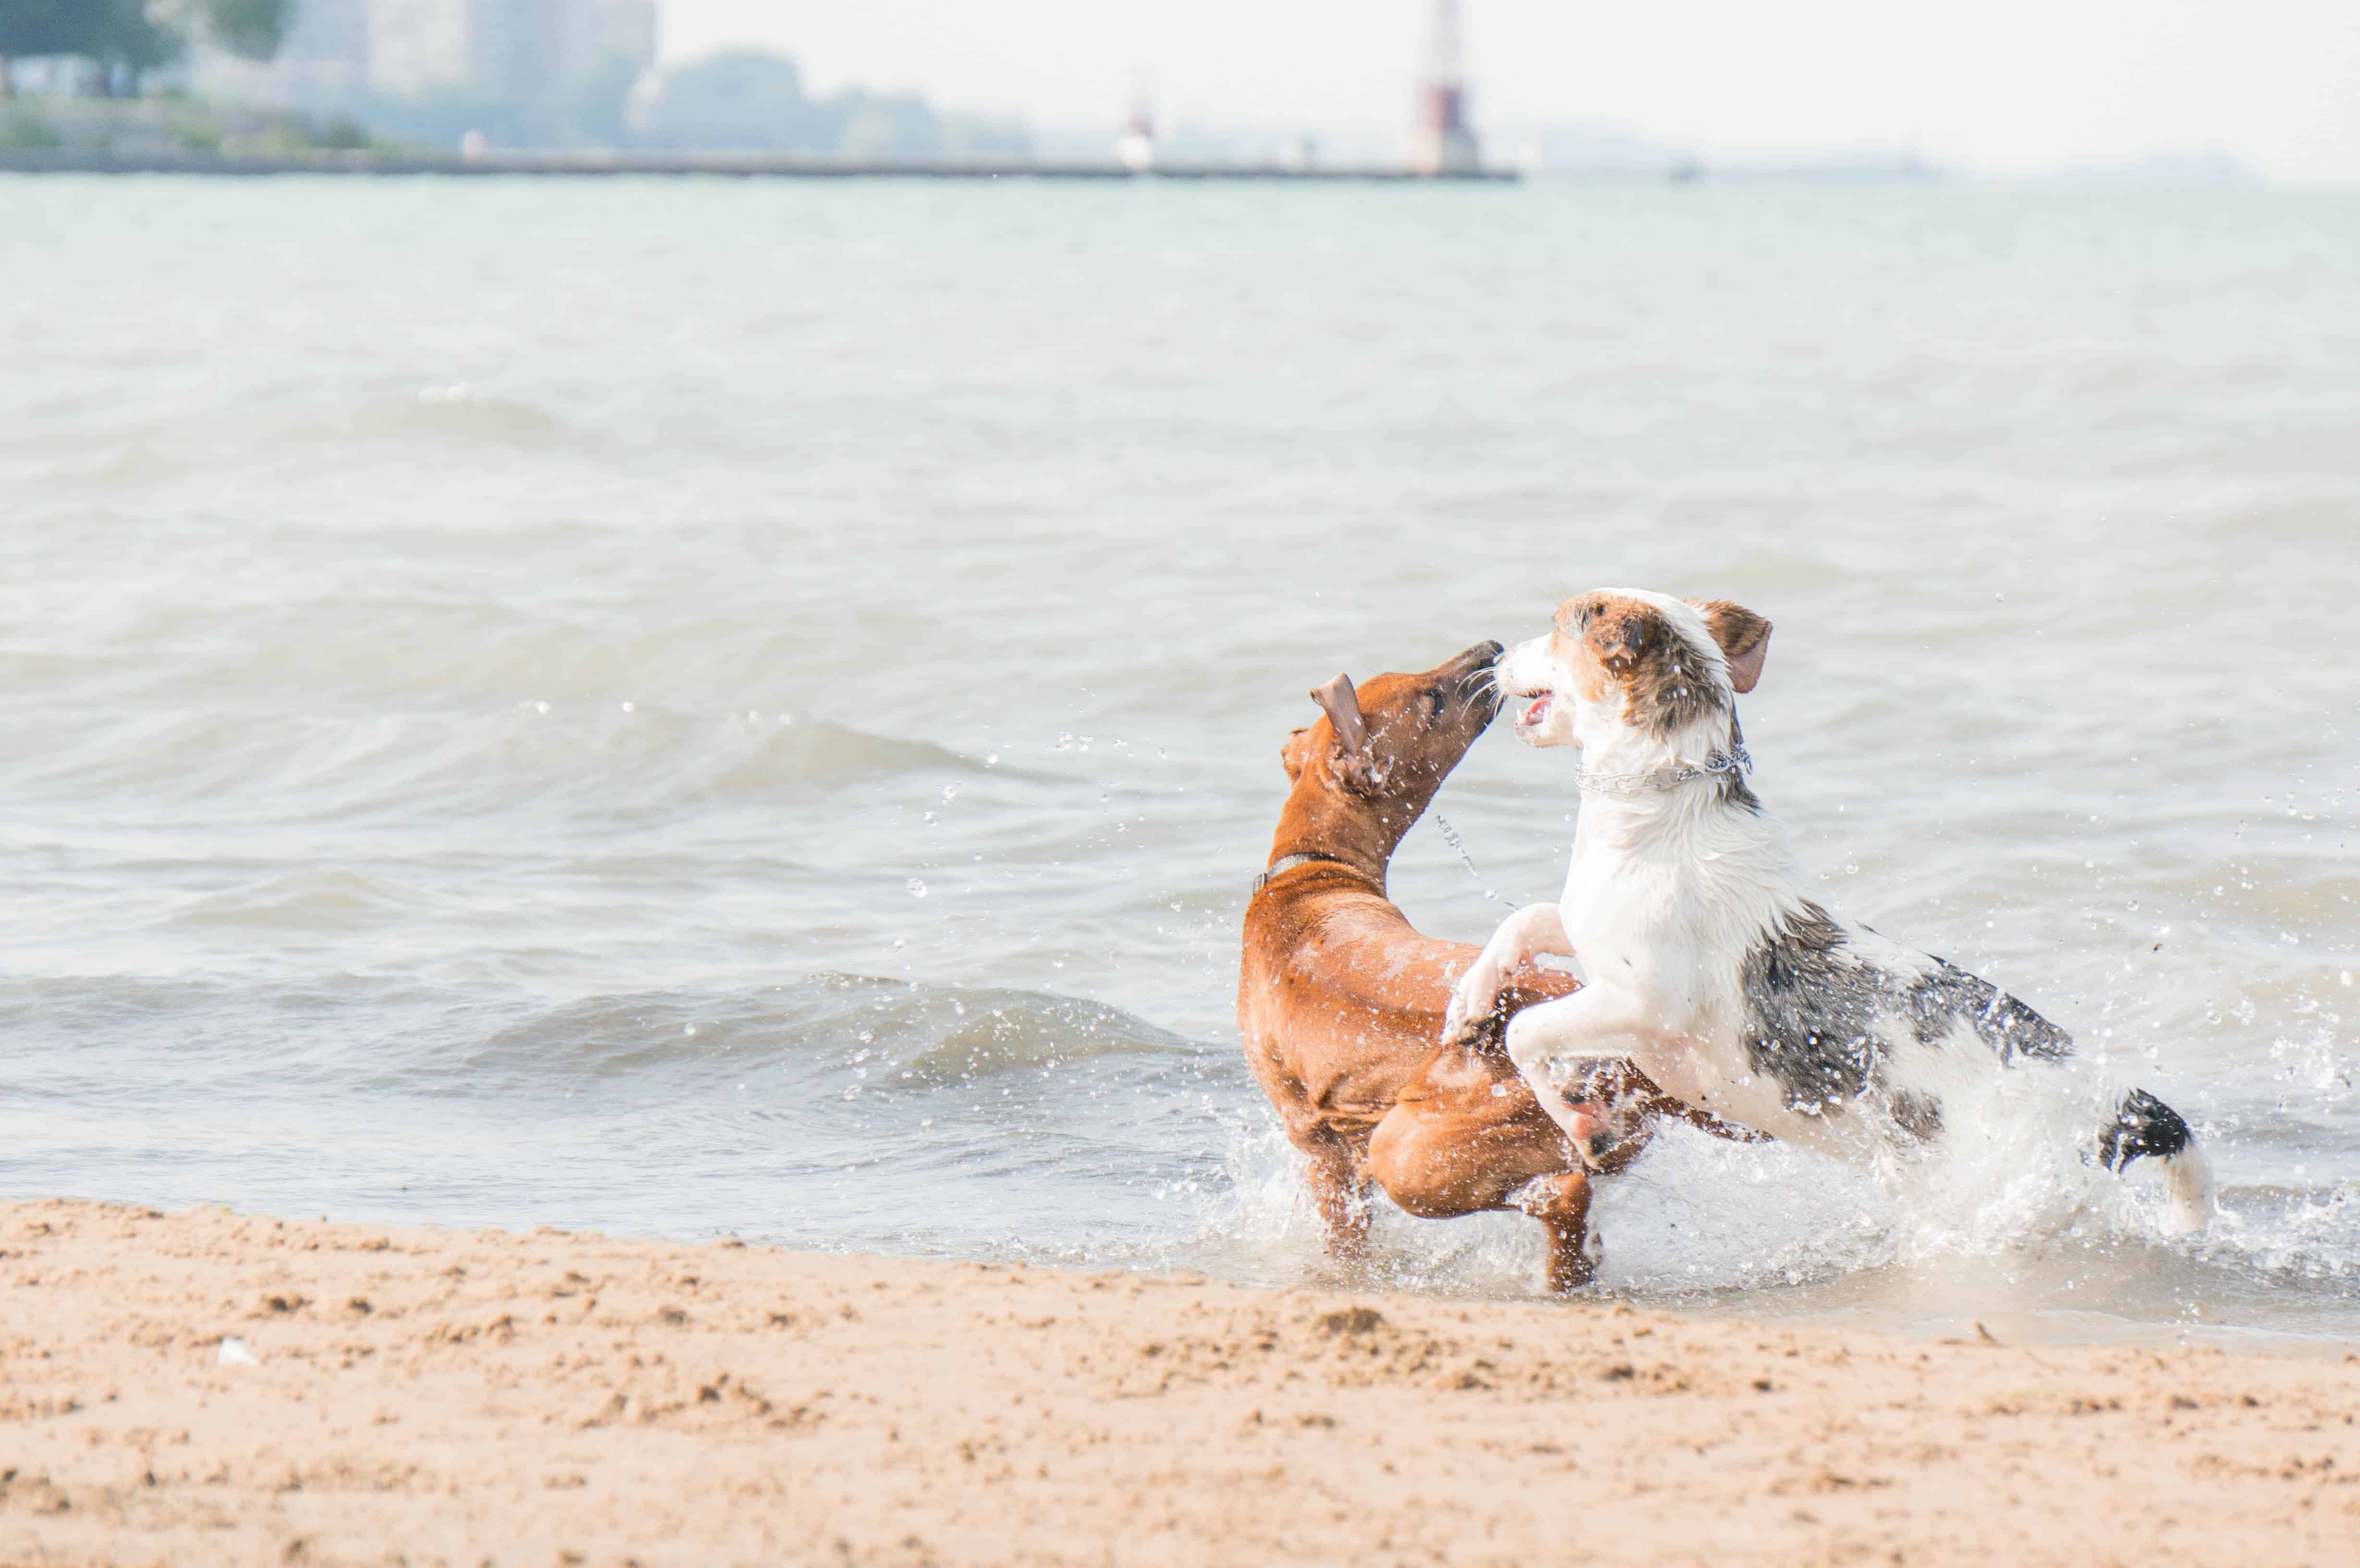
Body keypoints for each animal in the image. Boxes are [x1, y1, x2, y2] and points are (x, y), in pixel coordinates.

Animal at [1236, 637, 1756, 1285]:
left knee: (1564, 1194)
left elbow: (1344, 1239)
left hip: (1404, 1152)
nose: (1489, 649)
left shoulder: (1319, 1150)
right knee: (1584, 1180)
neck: (1311, 869)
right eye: (1431, 699)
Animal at [1435, 588, 2209, 1237]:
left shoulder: (1645, 1002)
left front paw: (1580, 1121)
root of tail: (2116, 1100)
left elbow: (1528, 1032)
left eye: (1560, 624)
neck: (1666, 811)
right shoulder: (1590, 937)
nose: (1496, 656)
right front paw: (1469, 1003)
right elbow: (1524, 922)